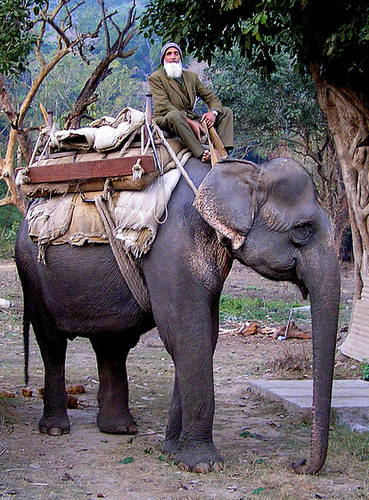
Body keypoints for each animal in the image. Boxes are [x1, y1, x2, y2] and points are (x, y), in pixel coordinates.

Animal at [15, 158, 340, 474]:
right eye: (302, 229)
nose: (297, 464)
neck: (240, 169)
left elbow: (204, 337)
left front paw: (172, 452)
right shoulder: (171, 252)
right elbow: (187, 336)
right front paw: (204, 465)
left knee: (112, 346)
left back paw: (120, 428)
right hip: (32, 275)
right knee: (53, 344)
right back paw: (56, 429)